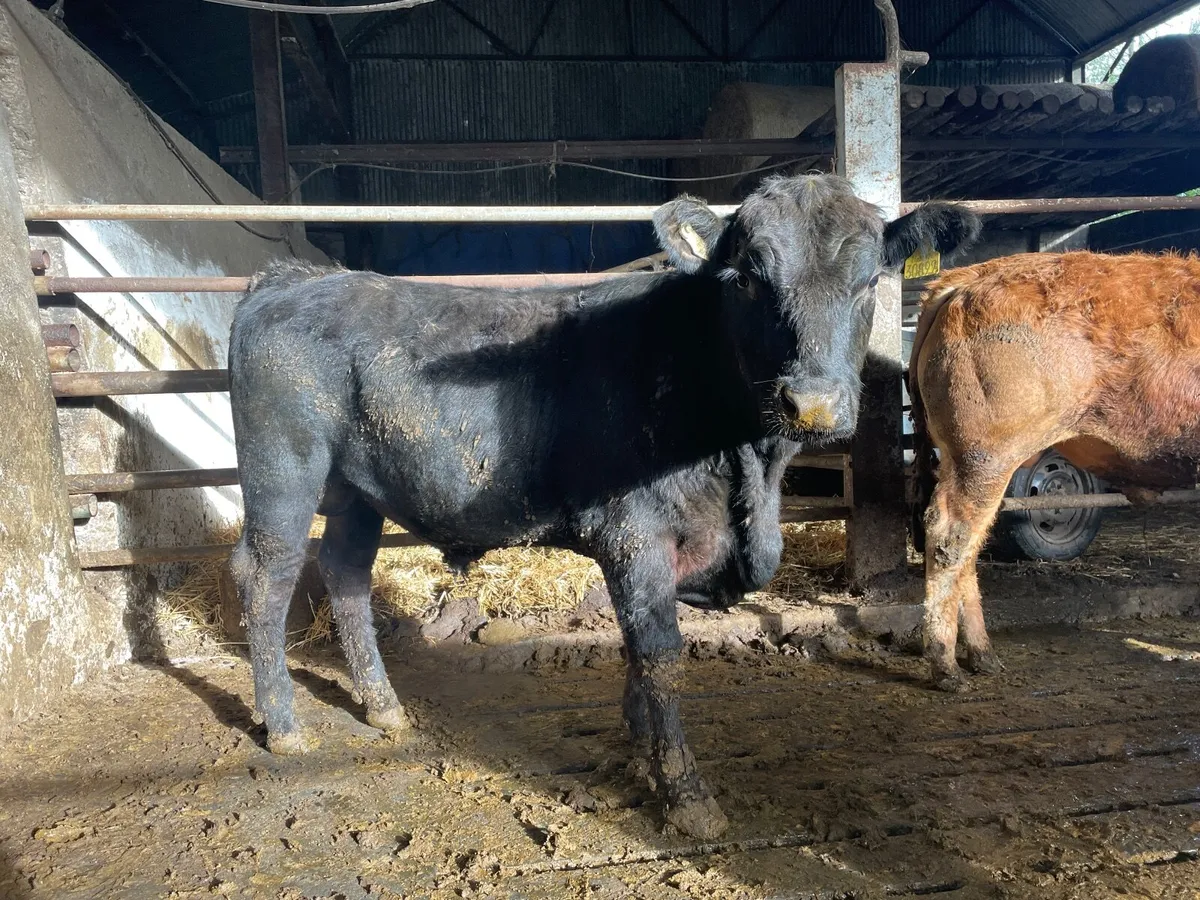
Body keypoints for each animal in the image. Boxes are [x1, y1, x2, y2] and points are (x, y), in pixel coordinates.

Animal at [228, 173, 980, 838]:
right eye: (747, 278)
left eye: (869, 281)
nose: (813, 404)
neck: (748, 473)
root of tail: (294, 278)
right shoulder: (634, 534)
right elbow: (659, 651)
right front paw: (684, 794)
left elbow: (637, 653)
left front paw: (638, 755)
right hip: (283, 471)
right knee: (268, 577)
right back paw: (285, 726)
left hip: (358, 489)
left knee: (346, 573)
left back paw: (384, 708)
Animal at [909, 250, 1200, 692]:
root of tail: (967, 279)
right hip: (985, 457)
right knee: (950, 538)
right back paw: (946, 666)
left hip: (972, 464)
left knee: (969, 545)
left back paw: (983, 656)